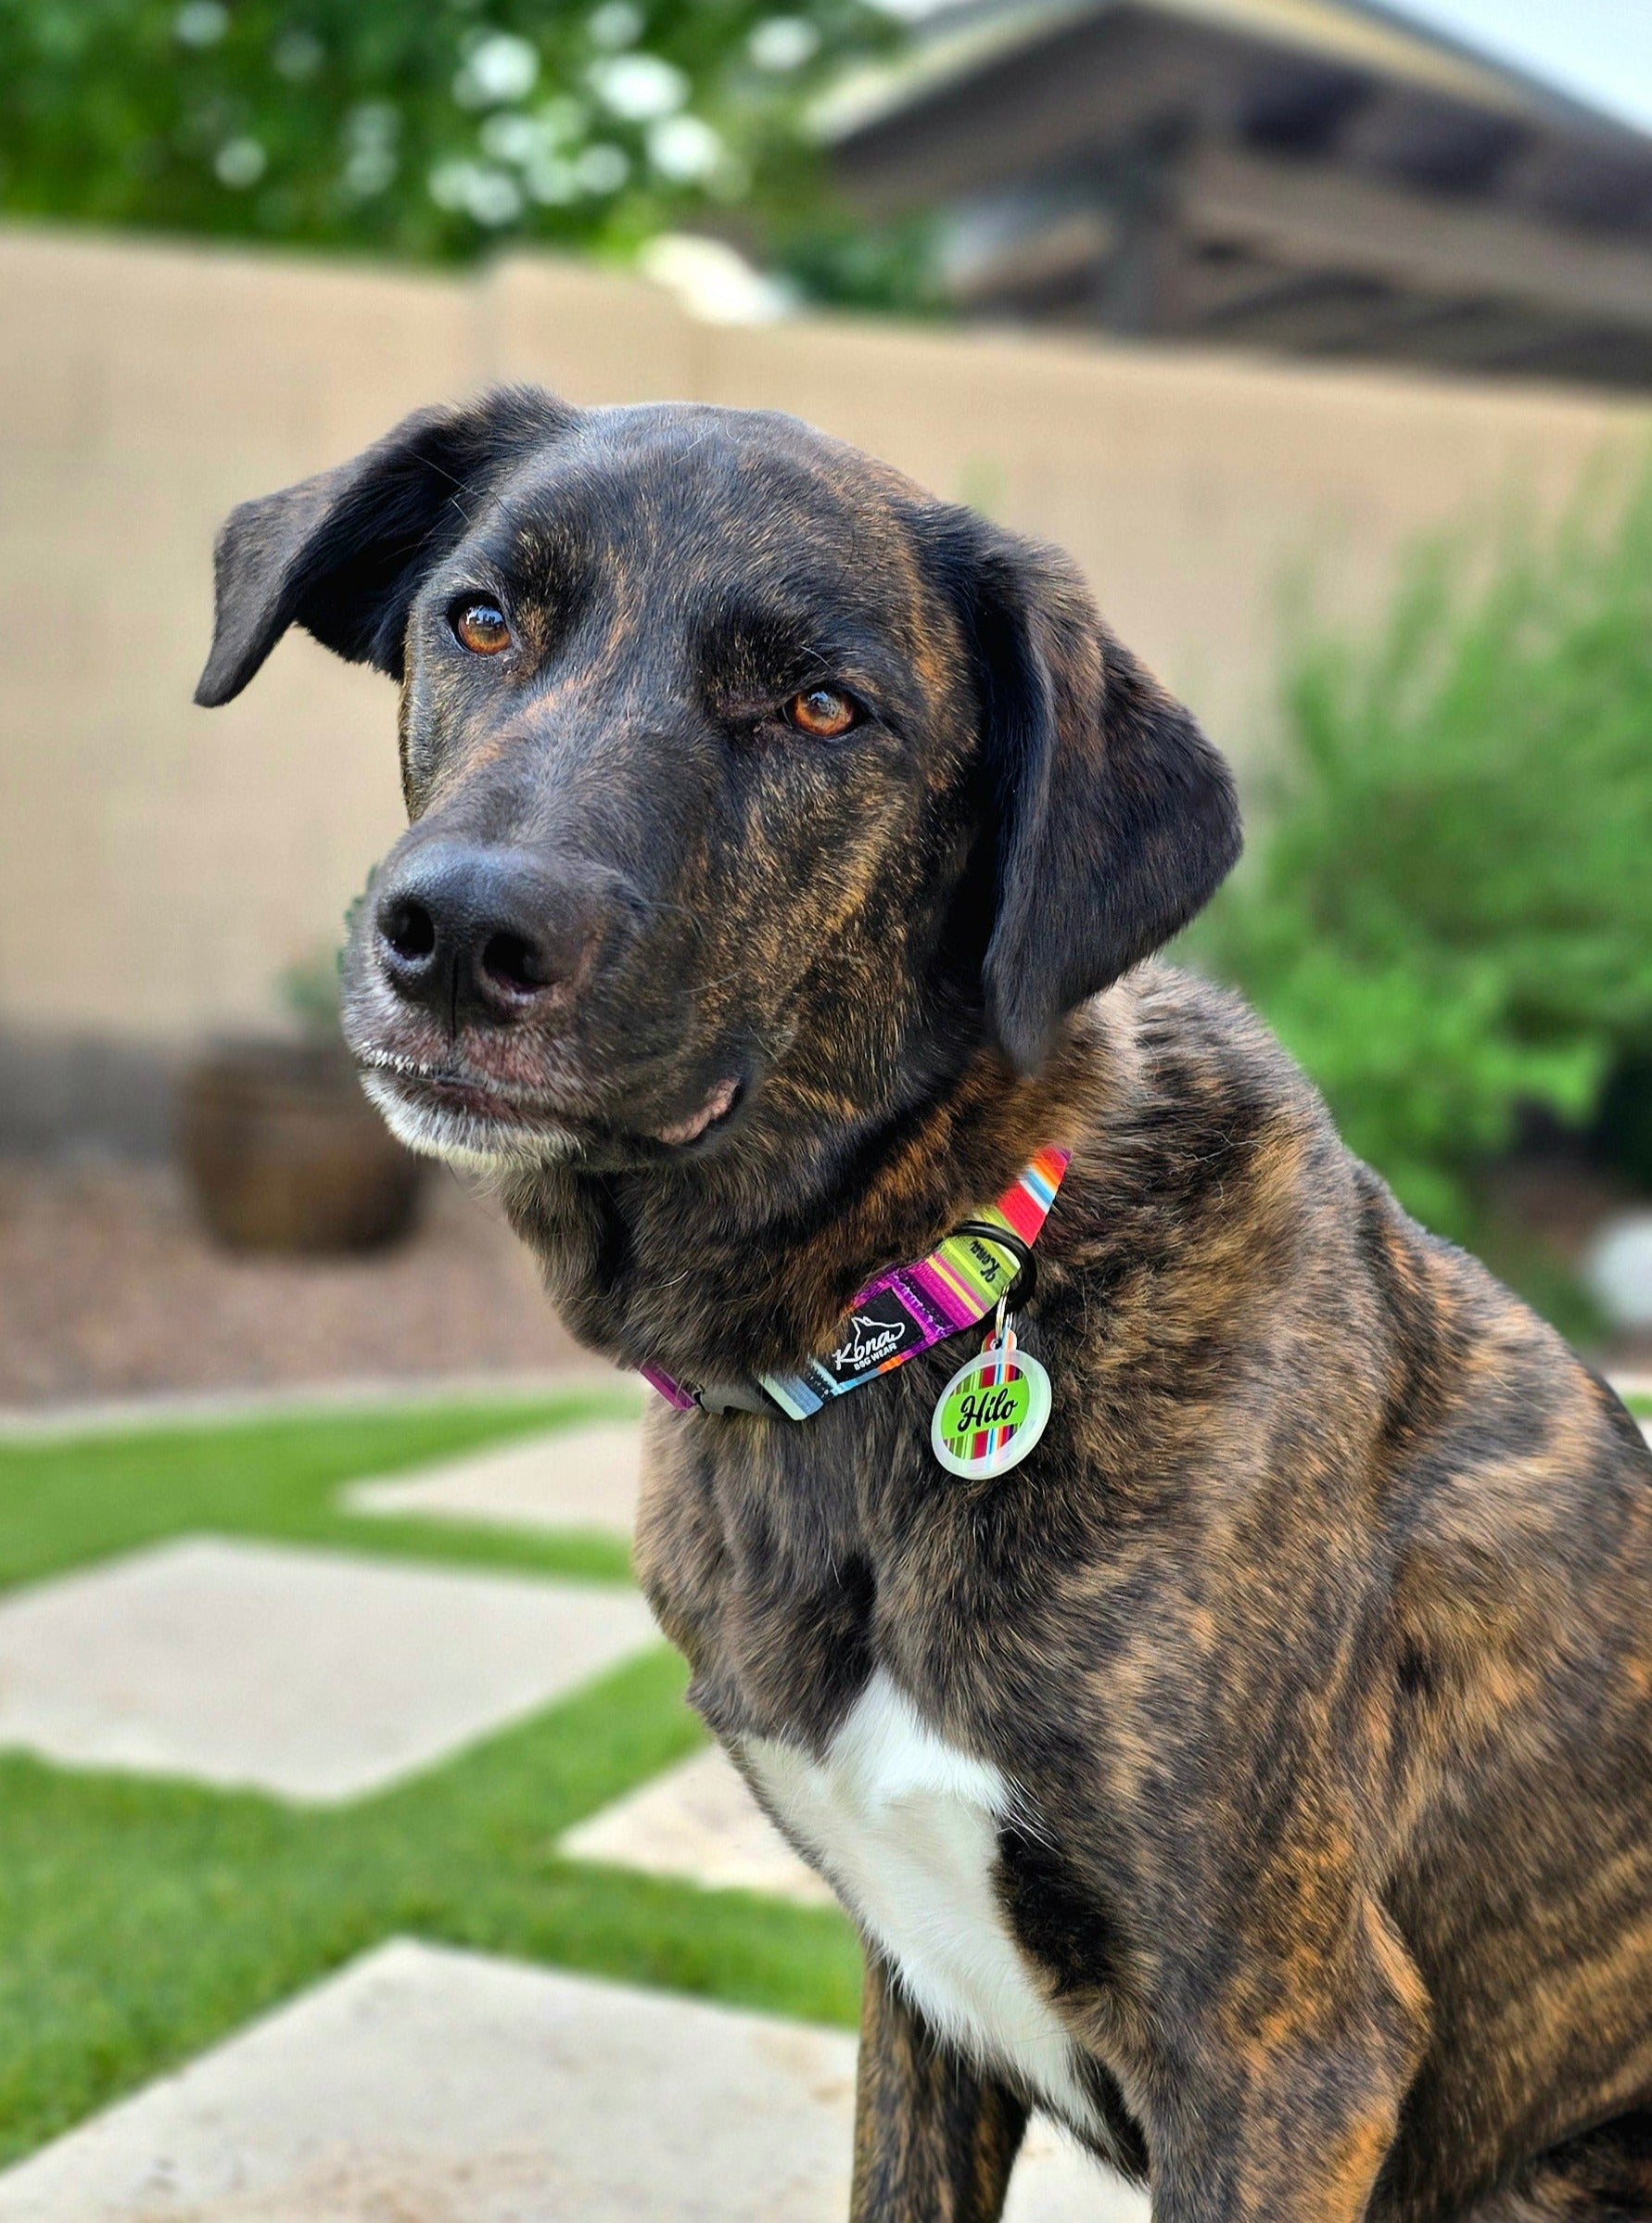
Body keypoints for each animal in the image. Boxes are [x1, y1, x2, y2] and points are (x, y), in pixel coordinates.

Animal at [197, 391, 1652, 2223]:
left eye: (824, 706)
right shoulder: (923, 1991)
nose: (456, 932)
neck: (901, 1320)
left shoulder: (1286, 2044)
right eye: (480, 617)